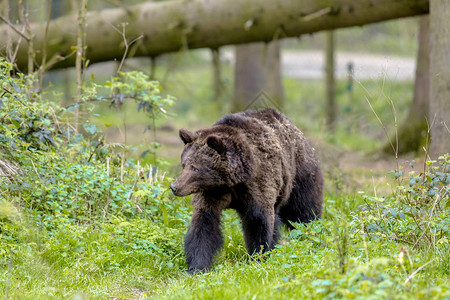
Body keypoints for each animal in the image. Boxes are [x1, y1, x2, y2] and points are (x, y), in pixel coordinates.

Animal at [171, 108, 322, 274]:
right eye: (184, 164)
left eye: (195, 168)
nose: (174, 186)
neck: (231, 181)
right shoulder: (212, 193)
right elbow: (203, 225)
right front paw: (197, 267)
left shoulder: (258, 186)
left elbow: (258, 222)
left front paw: (259, 257)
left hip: (300, 177)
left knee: (304, 213)